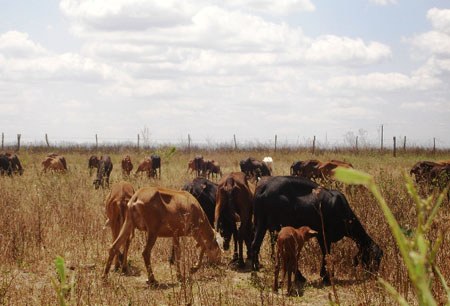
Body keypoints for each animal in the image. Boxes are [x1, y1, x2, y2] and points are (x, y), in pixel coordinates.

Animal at [251, 176, 382, 284]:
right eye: (375, 258)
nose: (375, 275)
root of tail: (264, 186)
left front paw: (326, 275)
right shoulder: (325, 235)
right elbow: (326, 253)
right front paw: (327, 276)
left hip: (260, 223)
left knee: (255, 245)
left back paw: (254, 272)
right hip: (278, 227)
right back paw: (299, 276)